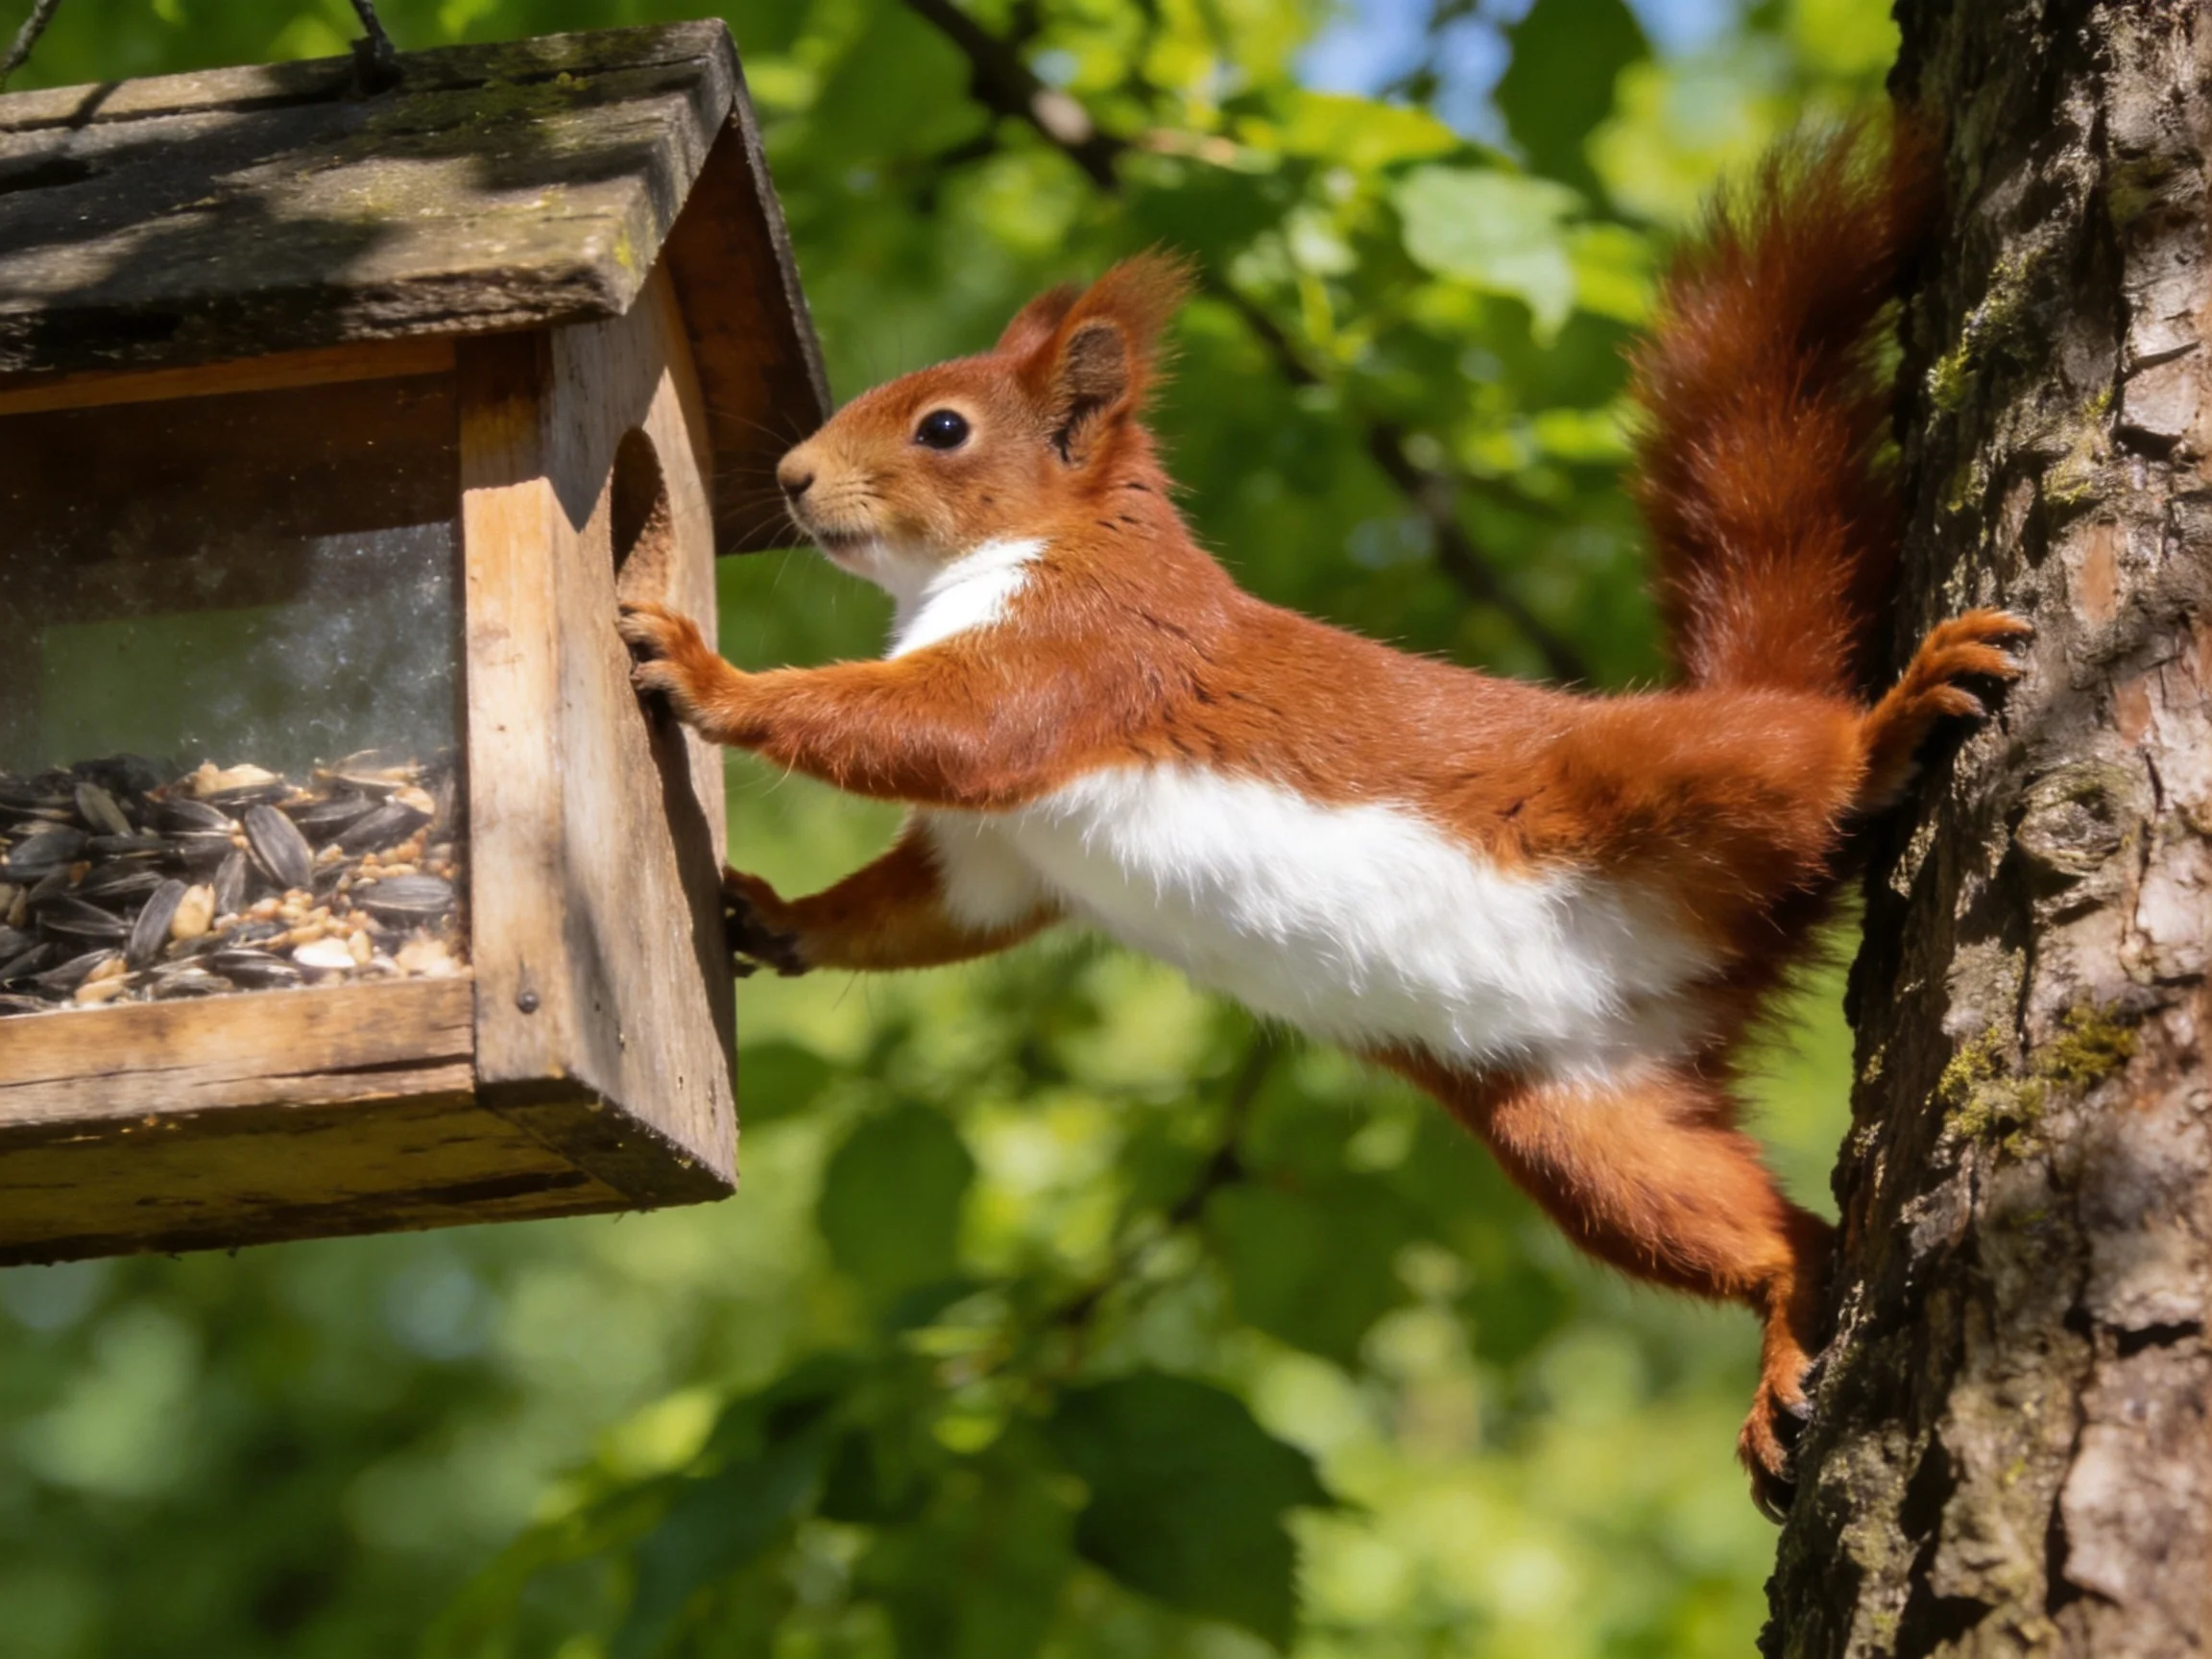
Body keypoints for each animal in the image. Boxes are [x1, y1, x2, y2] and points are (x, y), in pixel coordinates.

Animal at [619, 123, 2027, 1518]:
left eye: (946, 427)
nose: (793, 477)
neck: (1023, 553)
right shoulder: (1003, 851)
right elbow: (932, 908)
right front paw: (775, 918)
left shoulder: (1085, 657)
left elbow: (935, 730)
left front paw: (710, 677)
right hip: (1584, 1122)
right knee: (1777, 1237)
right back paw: (1786, 1345)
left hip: (1664, 775)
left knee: (1805, 768)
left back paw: (1897, 722)